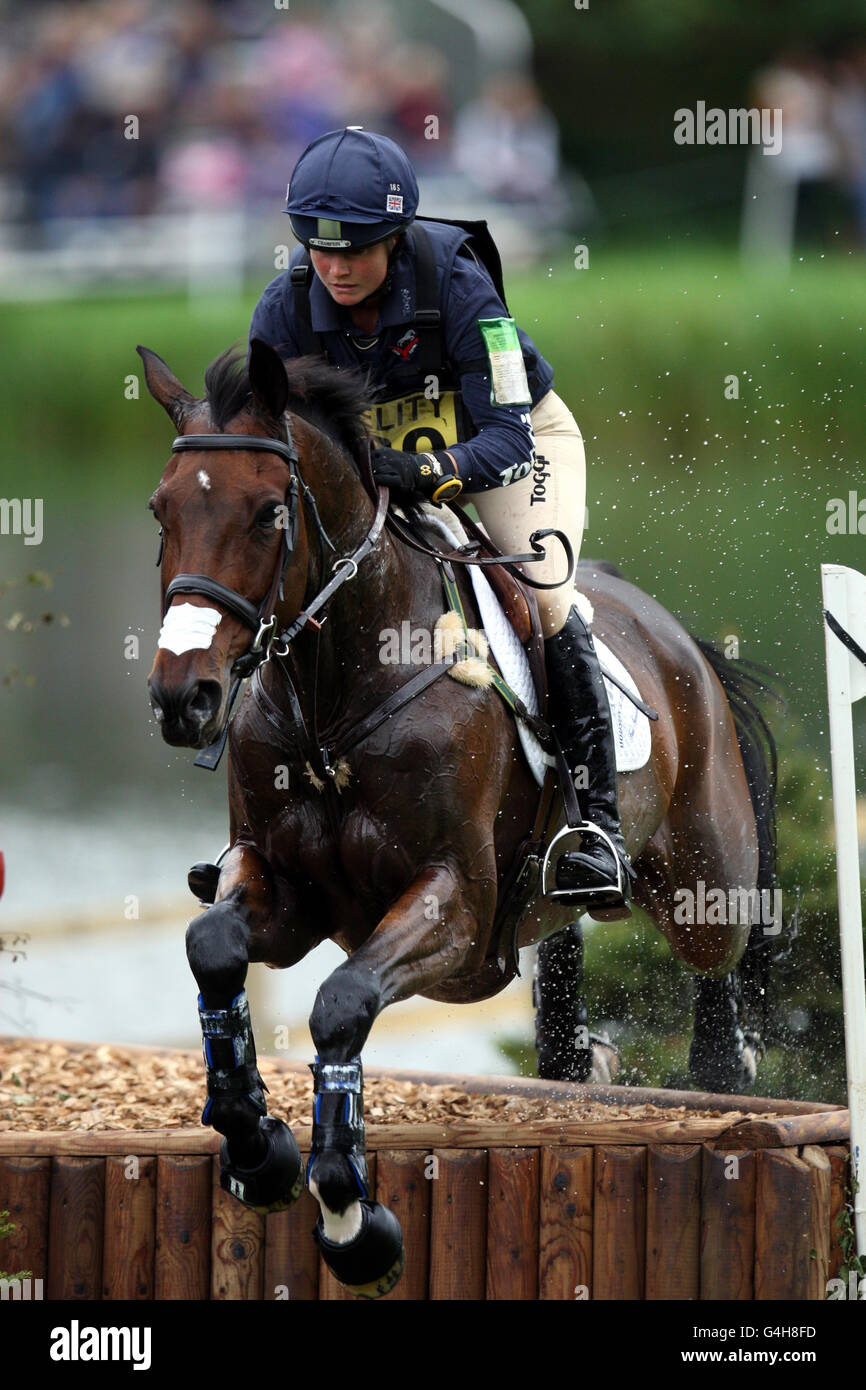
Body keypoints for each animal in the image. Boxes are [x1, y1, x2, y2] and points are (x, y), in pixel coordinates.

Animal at [140, 338, 779, 1298]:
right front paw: (258, 1148)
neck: (334, 706)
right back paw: (585, 1056)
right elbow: (213, 948)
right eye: (161, 512)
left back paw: (721, 1066)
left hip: (701, 874)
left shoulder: (457, 903)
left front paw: (351, 1216)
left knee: (717, 954)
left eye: (266, 514)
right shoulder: (284, 889)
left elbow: (342, 1003)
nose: (184, 700)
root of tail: (681, 641)